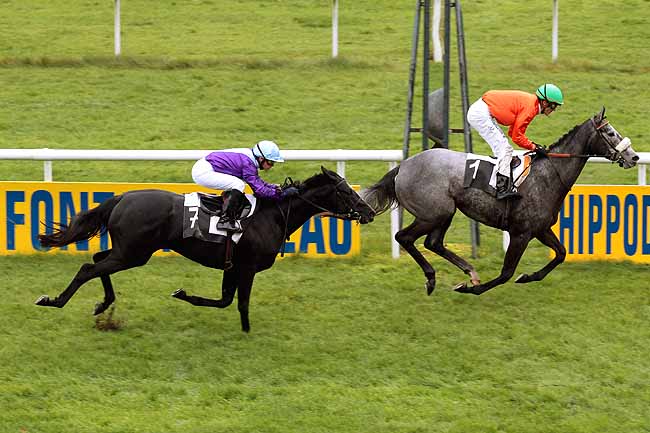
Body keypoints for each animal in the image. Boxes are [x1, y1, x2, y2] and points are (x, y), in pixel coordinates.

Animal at [36, 167, 375, 332]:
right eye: (346, 191)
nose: (369, 211)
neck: (273, 214)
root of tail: (120, 198)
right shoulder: (247, 267)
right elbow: (240, 303)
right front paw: (247, 332)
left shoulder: (233, 266)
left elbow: (224, 300)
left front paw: (183, 294)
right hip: (134, 253)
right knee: (88, 268)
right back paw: (53, 300)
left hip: (128, 251)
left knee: (97, 261)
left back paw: (102, 305)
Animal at [362, 108, 638, 295]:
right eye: (610, 132)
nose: (634, 157)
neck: (548, 174)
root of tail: (402, 167)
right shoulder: (521, 232)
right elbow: (506, 273)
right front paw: (473, 289)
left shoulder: (540, 228)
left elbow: (561, 254)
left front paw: (528, 277)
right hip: (434, 213)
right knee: (405, 237)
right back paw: (433, 278)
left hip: (446, 212)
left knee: (433, 243)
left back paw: (468, 272)